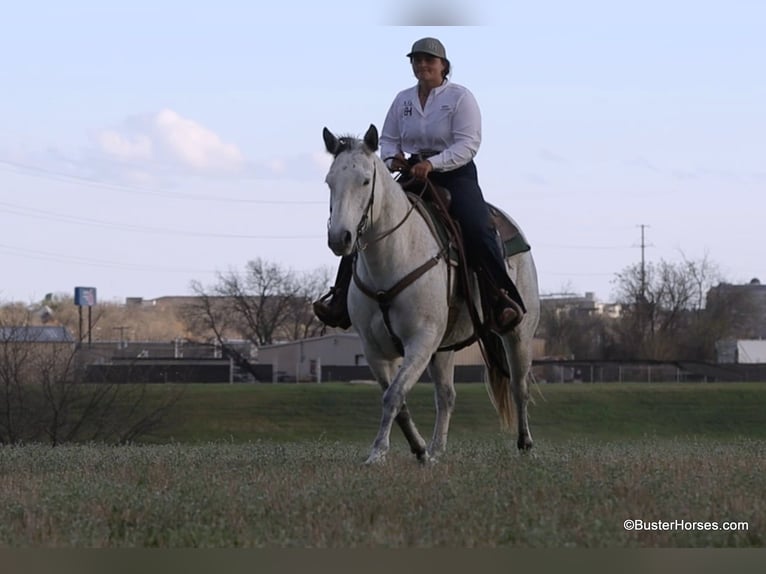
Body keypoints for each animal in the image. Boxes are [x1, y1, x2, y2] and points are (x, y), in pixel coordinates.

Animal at [322, 124, 540, 464]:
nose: (339, 239)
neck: (393, 258)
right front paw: (420, 450)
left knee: (519, 386)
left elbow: (394, 395)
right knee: (447, 396)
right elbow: (397, 400)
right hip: (445, 347)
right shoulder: (374, 349)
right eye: (329, 181)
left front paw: (379, 452)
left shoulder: (421, 341)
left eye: (365, 180)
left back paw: (525, 444)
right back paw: (438, 450)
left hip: (518, 333)